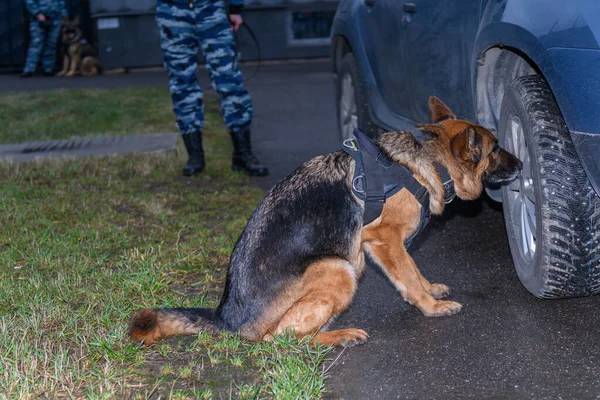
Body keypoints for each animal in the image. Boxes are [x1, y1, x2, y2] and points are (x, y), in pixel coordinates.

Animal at [130, 96, 520, 346]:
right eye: (496, 148)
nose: (520, 164)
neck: (429, 163)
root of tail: (228, 319)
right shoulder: (384, 239)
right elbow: (407, 276)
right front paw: (431, 307)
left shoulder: (386, 246)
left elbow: (413, 269)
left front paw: (431, 290)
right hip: (337, 268)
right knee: (281, 339)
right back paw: (340, 336)